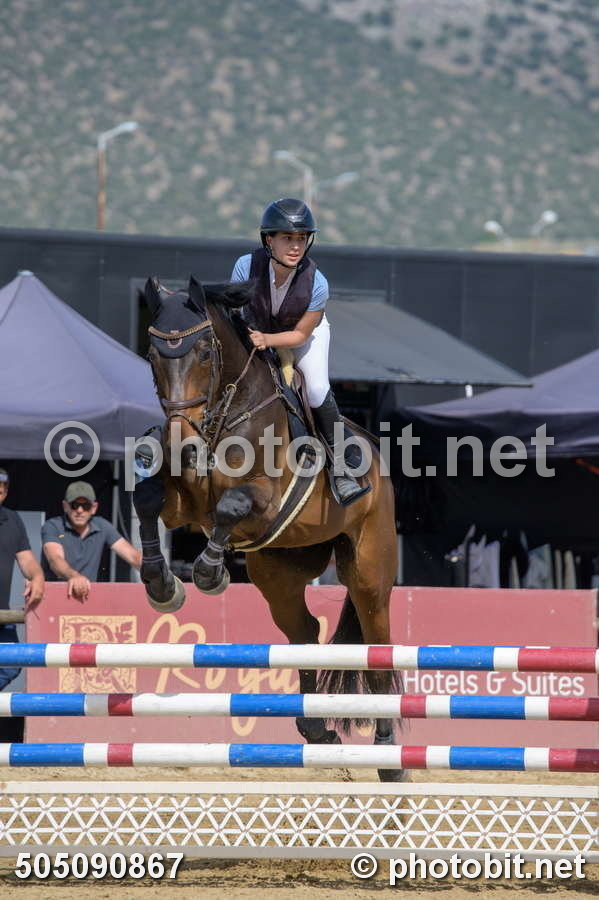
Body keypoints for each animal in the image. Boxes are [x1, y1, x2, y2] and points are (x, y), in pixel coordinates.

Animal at [134, 275, 403, 781]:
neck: (222, 415)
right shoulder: (182, 503)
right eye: (153, 355)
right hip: (280, 573)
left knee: (377, 646)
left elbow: (231, 506)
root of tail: (379, 465)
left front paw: (210, 574)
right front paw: (163, 587)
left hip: (368, 570)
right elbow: (146, 500)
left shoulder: (265, 500)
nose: (181, 443)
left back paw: (388, 754)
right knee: (304, 632)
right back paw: (317, 731)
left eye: (205, 352)